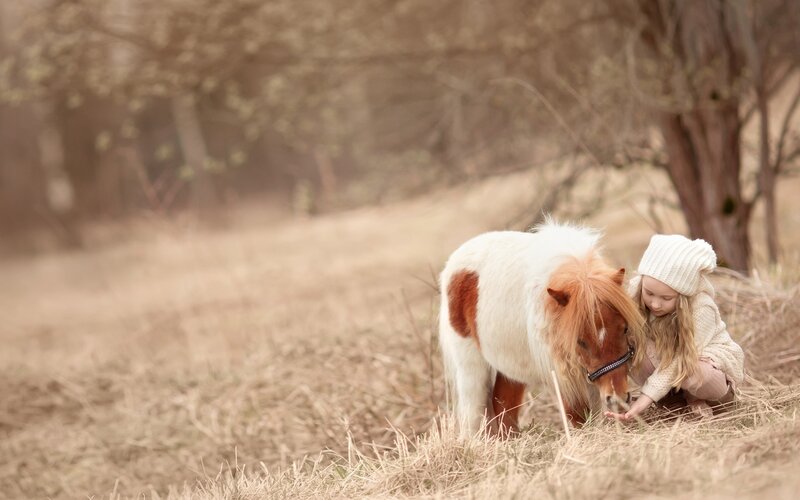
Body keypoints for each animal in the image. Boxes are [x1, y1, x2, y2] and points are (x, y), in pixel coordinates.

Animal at [439, 220, 645, 434]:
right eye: (580, 341)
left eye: (624, 329)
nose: (618, 399)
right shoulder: (562, 373)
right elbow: (577, 414)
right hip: (471, 368)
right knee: (473, 412)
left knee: (503, 405)